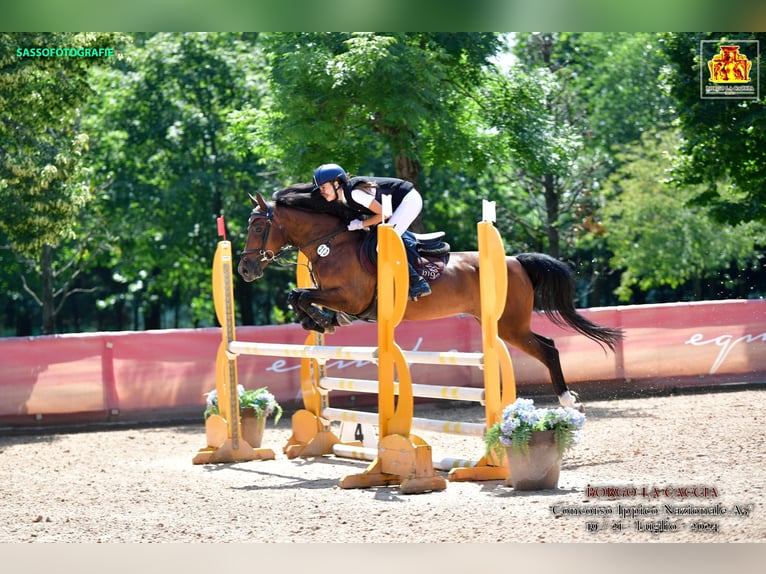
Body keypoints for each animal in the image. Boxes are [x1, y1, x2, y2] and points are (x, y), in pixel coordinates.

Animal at [238, 184, 624, 410]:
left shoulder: (351, 297)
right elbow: (298, 296)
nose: (244, 270)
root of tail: (515, 261)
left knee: (549, 349)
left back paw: (567, 401)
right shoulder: (340, 297)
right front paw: (320, 322)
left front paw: (317, 319)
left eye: (257, 226)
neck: (331, 242)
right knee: (546, 344)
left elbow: (301, 294)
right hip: (499, 323)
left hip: (508, 324)